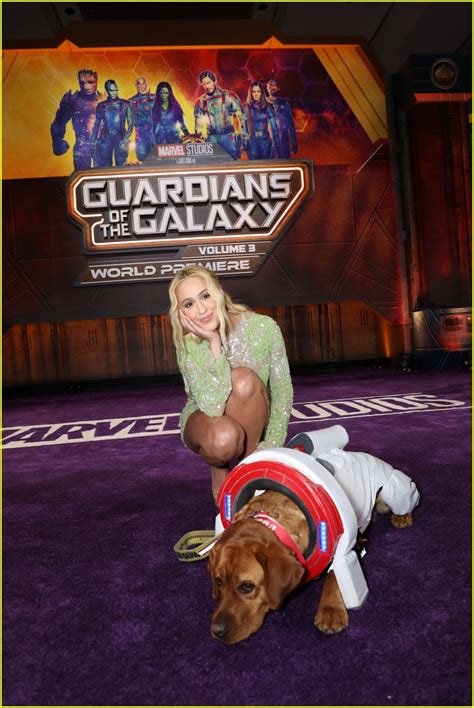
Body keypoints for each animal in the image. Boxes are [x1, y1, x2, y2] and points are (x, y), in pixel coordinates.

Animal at [207, 490, 412, 644]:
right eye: (218, 582)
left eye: (247, 586)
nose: (216, 632)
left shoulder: (349, 544)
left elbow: (334, 576)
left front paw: (330, 610)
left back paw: (402, 515)